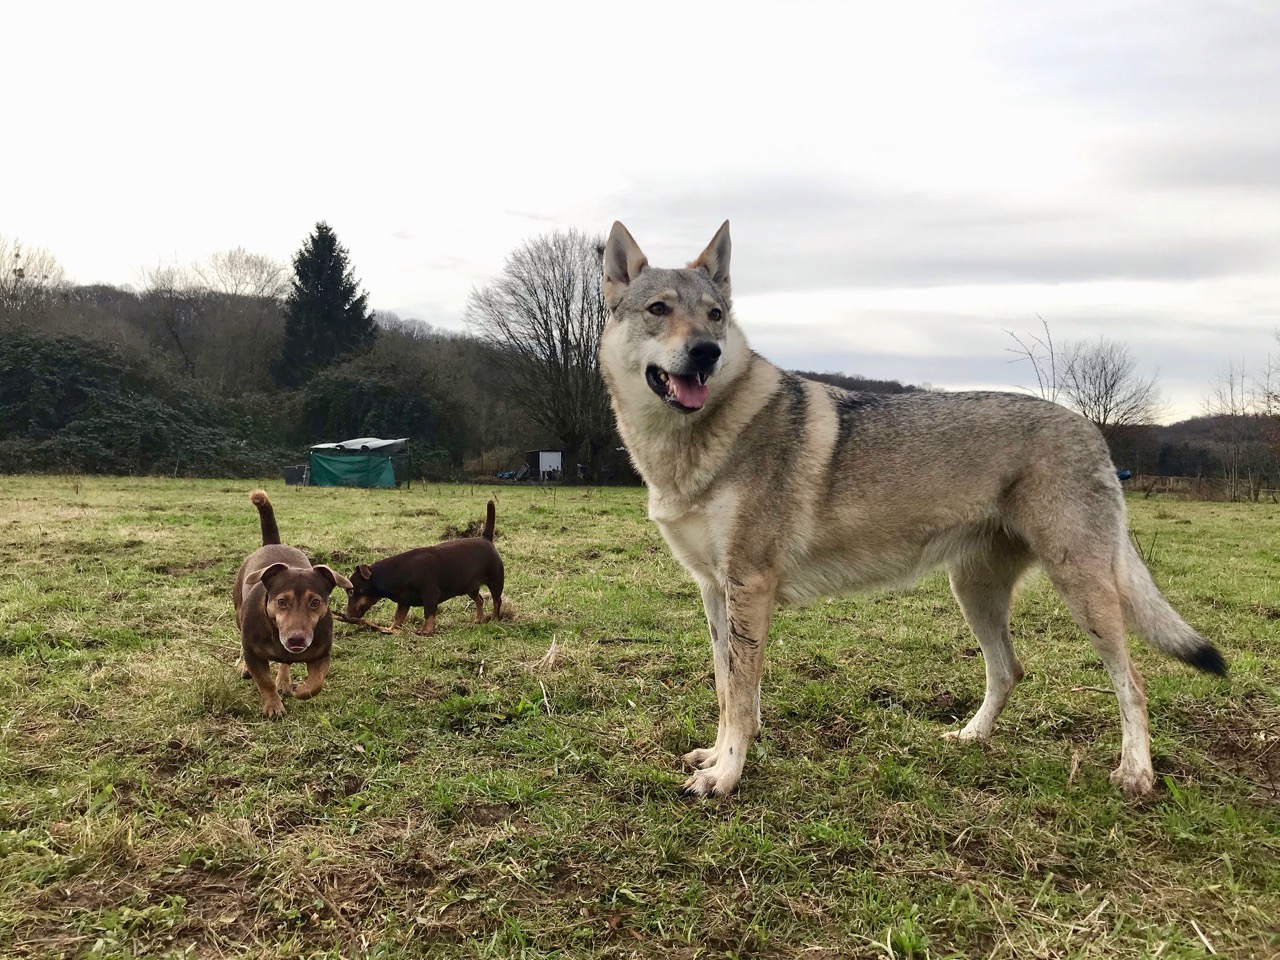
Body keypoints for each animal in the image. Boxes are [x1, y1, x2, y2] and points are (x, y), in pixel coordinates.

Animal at [234, 491, 350, 716]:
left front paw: (301, 690)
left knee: (285, 665)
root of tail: (273, 544)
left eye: (315, 602)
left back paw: (284, 681)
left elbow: (317, 682)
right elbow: (264, 680)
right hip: (238, 613)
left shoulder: (321, 653)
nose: (296, 639)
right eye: (281, 601)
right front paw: (273, 705)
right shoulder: (252, 651)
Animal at [345, 499, 504, 634]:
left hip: (495, 582)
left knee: (497, 601)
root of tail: (486, 538)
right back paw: (479, 618)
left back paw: (494, 620)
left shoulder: (430, 594)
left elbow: (428, 613)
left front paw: (426, 630)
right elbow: (398, 617)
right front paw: (390, 629)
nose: (347, 615)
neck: (395, 573)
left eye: (351, 592)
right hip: (470, 587)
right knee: (480, 600)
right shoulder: (404, 601)